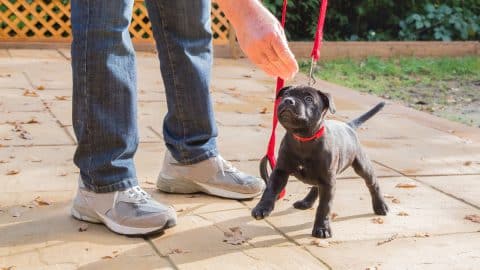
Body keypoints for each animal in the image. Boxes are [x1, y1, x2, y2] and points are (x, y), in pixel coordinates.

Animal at [253, 85, 388, 238]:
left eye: (309, 99)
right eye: (286, 94)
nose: (288, 101)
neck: (303, 139)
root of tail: (348, 126)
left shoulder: (328, 182)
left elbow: (324, 206)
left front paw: (322, 228)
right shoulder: (280, 171)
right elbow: (270, 190)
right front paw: (262, 208)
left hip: (361, 165)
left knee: (373, 184)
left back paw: (380, 206)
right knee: (316, 187)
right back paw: (306, 202)